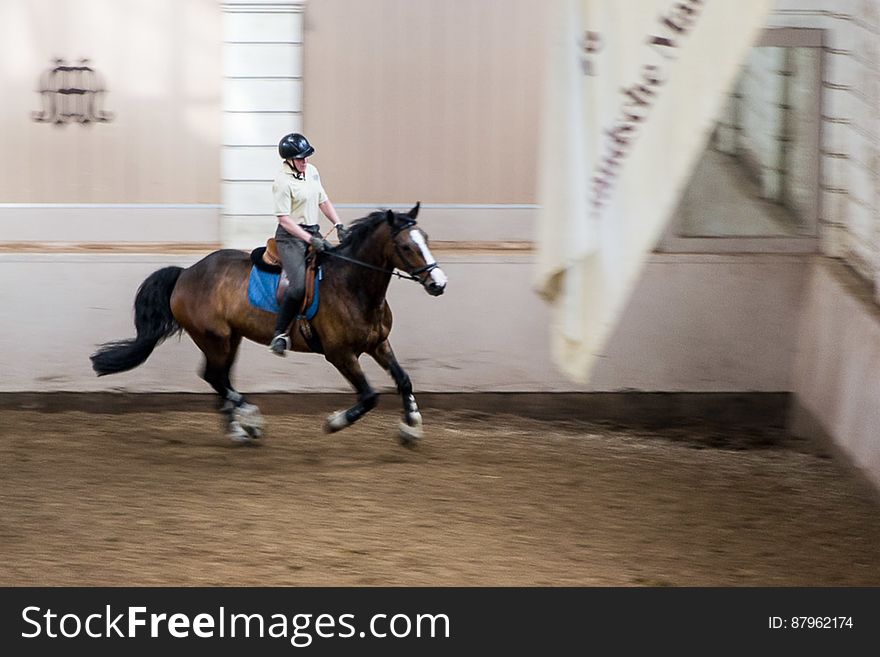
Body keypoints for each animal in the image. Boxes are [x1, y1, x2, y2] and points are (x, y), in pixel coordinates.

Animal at [90, 201, 446, 446]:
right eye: (406, 246)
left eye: (426, 238)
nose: (438, 283)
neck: (353, 285)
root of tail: (186, 273)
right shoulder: (341, 354)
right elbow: (369, 396)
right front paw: (335, 422)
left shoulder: (378, 343)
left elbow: (404, 380)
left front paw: (411, 427)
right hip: (214, 338)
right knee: (214, 376)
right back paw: (249, 420)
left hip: (229, 339)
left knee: (219, 377)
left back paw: (237, 428)